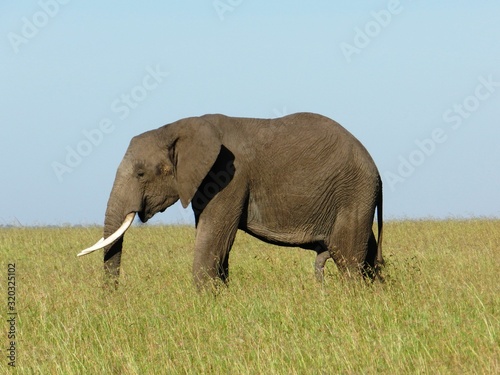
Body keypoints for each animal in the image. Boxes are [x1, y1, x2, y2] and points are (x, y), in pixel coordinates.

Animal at [77, 113, 382, 290]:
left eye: (141, 173)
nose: (112, 299)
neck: (176, 127)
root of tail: (376, 170)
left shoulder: (229, 175)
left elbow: (214, 237)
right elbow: (216, 243)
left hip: (352, 193)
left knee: (348, 258)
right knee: (366, 255)